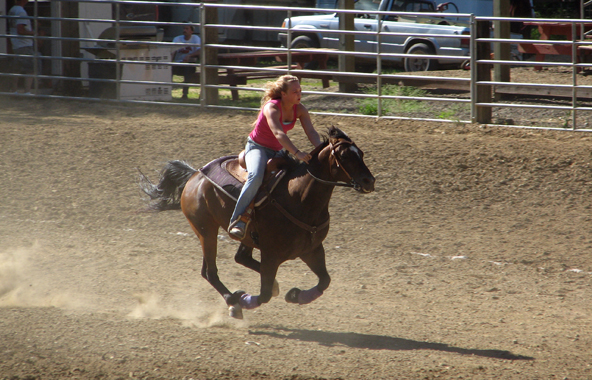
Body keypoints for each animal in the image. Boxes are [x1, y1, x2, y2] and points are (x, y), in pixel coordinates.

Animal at [140, 127, 374, 318]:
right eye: (345, 155)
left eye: (361, 153)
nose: (369, 181)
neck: (298, 197)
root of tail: (195, 174)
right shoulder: (271, 254)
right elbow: (264, 294)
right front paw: (244, 299)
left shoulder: (312, 249)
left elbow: (324, 280)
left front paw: (295, 295)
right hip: (206, 231)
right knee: (210, 272)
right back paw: (234, 303)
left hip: (240, 236)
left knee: (240, 258)